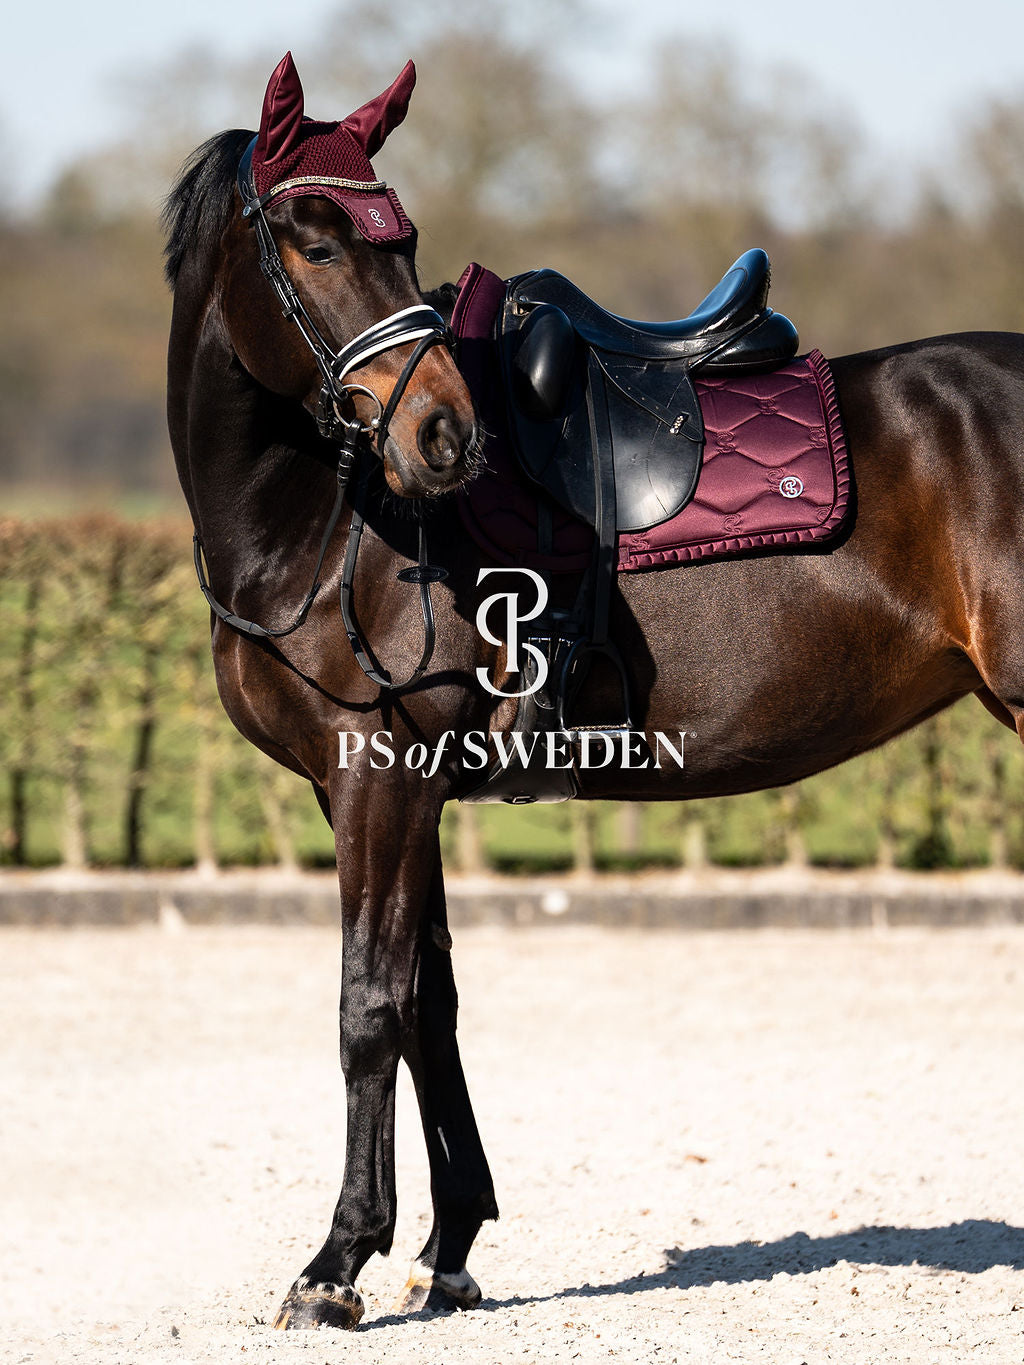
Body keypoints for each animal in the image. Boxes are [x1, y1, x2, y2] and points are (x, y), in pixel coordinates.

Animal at [164, 54, 1024, 1331]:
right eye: (315, 242)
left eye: (400, 241)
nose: (443, 436)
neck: (323, 521)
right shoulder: (390, 791)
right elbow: (430, 1005)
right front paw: (449, 1247)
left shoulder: (378, 781)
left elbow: (369, 1010)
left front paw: (335, 1264)